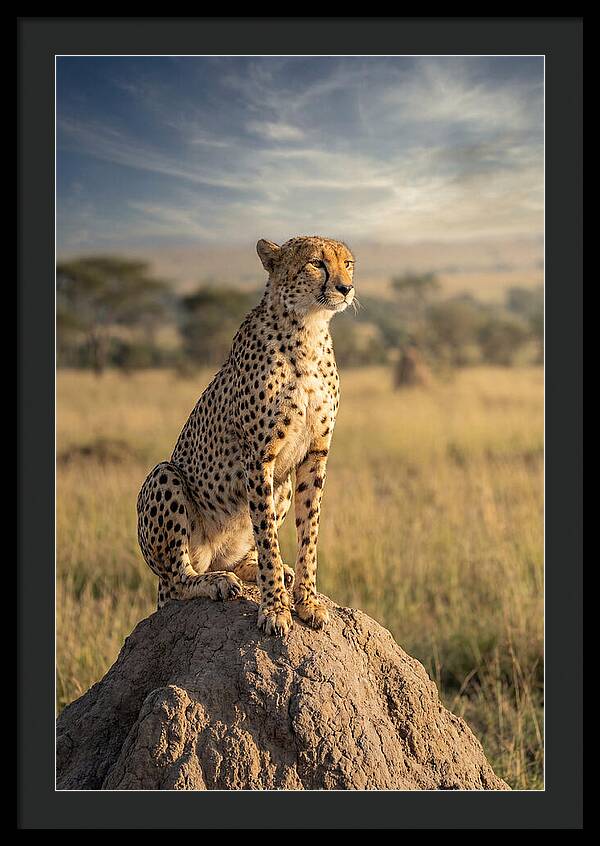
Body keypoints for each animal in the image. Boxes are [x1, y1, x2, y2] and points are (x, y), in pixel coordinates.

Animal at [136, 235, 355, 636]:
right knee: (178, 579)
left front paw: (307, 601)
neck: (308, 329)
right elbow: (267, 536)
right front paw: (275, 609)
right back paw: (216, 582)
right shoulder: (258, 457)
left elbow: (309, 532)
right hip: (164, 478)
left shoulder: (315, 454)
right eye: (316, 263)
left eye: (348, 263)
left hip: (282, 485)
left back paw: (258, 571)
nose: (345, 288)